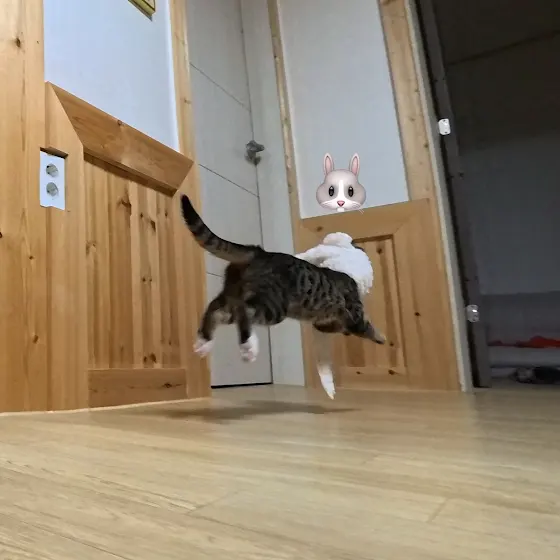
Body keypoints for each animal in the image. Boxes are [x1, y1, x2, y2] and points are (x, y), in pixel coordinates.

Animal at [180, 194, 385, 363]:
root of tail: (260, 252)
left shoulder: (323, 322)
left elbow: (337, 326)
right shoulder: (355, 316)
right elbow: (367, 327)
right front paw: (382, 337)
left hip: (233, 292)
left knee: (215, 309)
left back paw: (203, 343)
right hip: (274, 305)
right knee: (244, 311)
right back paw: (249, 347)